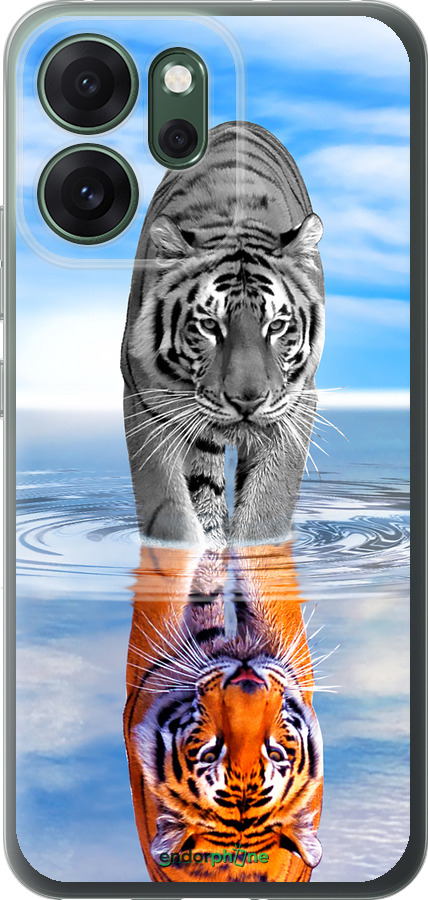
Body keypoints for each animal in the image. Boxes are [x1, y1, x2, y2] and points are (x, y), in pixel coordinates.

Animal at [121, 121, 325, 548]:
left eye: (276, 326)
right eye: (210, 326)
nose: (247, 401)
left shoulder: (296, 405)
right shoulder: (144, 401)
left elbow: (267, 509)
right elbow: (169, 511)